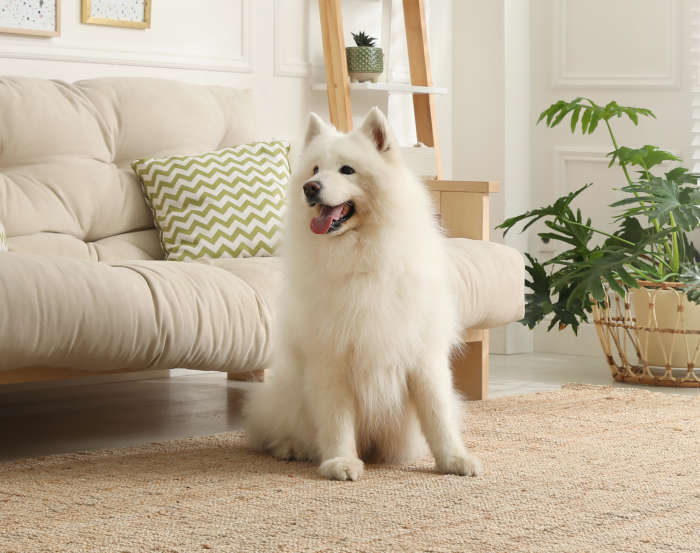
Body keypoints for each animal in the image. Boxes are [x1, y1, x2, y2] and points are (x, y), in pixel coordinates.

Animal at [245, 106, 482, 478]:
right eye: (315, 170)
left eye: (347, 170)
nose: (310, 188)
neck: (361, 257)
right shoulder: (331, 357)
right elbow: (336, 419)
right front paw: (340, 462)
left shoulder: (423, 355)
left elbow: (438, 415)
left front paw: (454, 459)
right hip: (286, 394)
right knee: (275, 428)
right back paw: (290, 447)